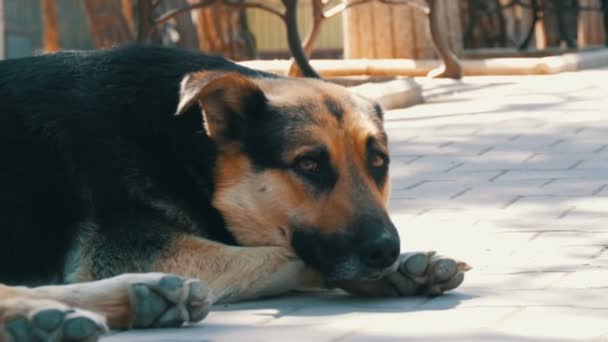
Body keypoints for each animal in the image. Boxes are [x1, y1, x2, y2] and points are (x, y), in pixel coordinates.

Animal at [0, 46, 470, 342]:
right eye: (309, 164)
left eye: (378, 162)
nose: (386, 250)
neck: (187, 144)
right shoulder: (122, 247)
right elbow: (287, 255)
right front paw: (392, 271)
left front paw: (406, 266)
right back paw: (43, 319)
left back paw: (133, 300)